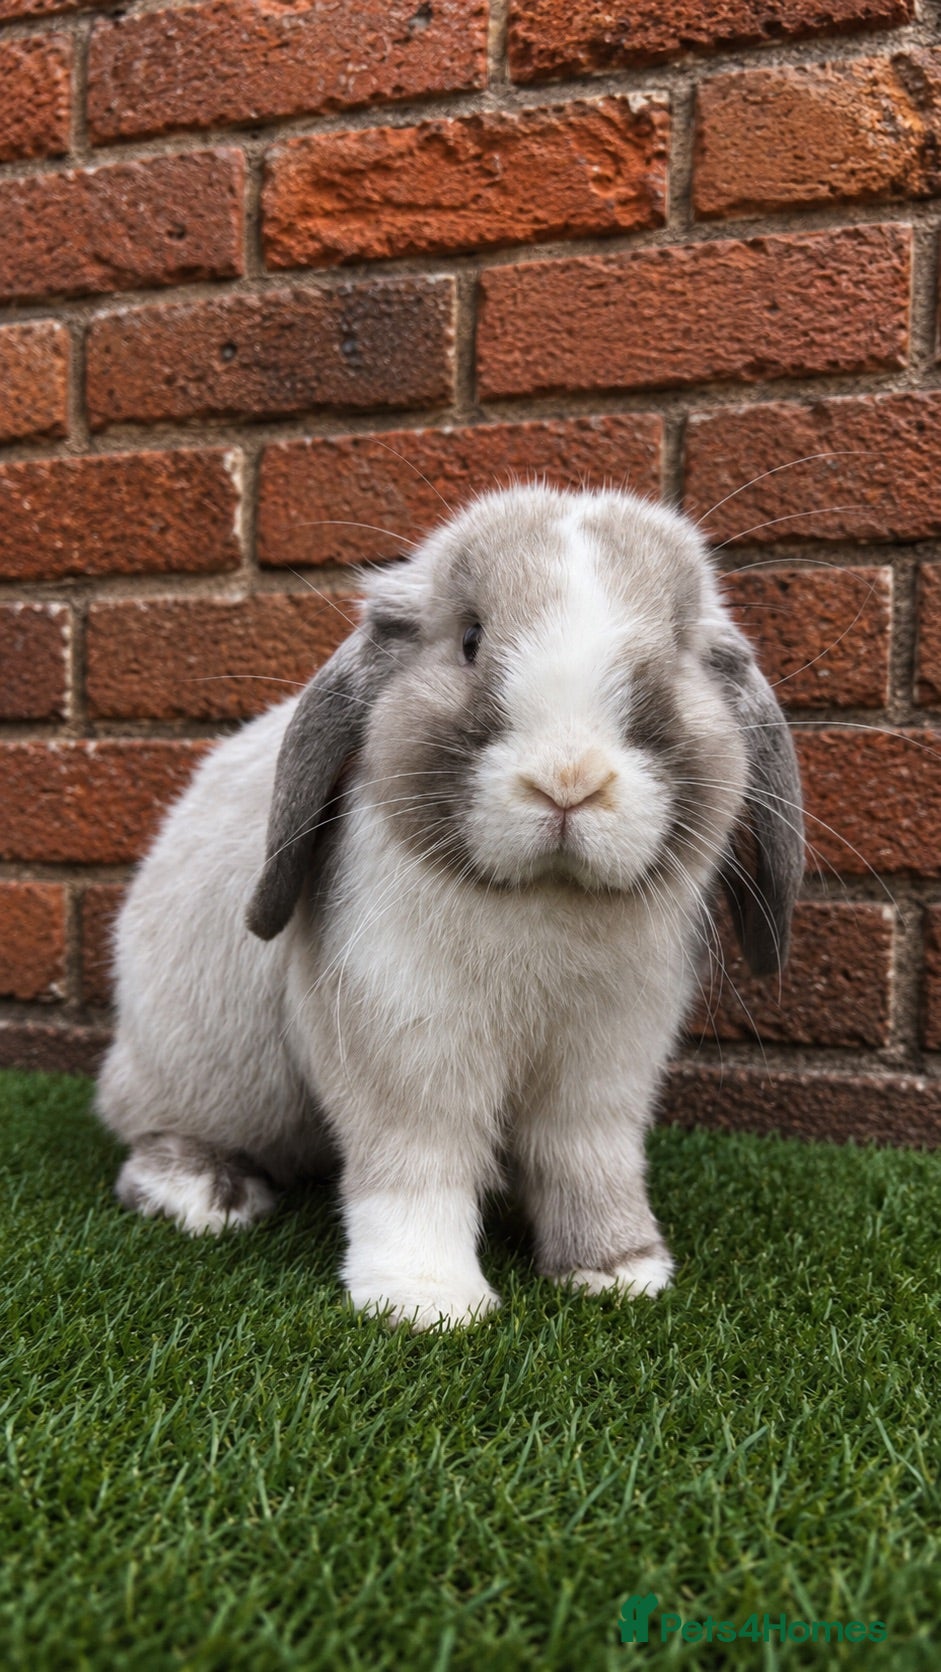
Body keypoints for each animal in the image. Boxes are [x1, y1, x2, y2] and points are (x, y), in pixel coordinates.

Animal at [96, 485, 803, 1329]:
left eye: (672, 650)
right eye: (469, 638)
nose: (568, 782)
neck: (541, 902)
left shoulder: (605, 1063)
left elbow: (586, 1157)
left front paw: (618, 1270)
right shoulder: (407, 1048)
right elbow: (416, 1165)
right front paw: (424, 1303)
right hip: (203, 1073)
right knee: (143, 1124)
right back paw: (202, 1193)